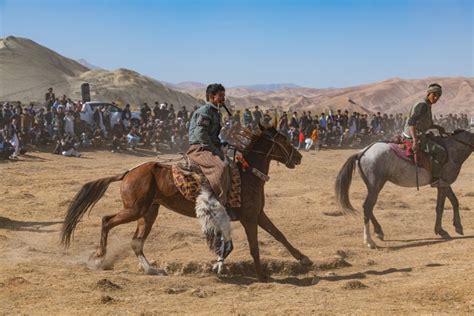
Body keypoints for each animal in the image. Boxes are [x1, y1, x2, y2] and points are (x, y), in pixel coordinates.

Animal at [60, 124, 312, 282]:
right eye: (284, 139)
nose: (299, 157)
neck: (246, 173)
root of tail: (128, 173)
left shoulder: (258, 214)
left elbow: (279, 235)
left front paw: (304, 259)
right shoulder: (249, 218)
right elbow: (254, 247)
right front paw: (261, 275)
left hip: (148, 212)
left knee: (136, 242)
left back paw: (152, 270)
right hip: (135, 209)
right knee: (107, 221)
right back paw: (99, 256)